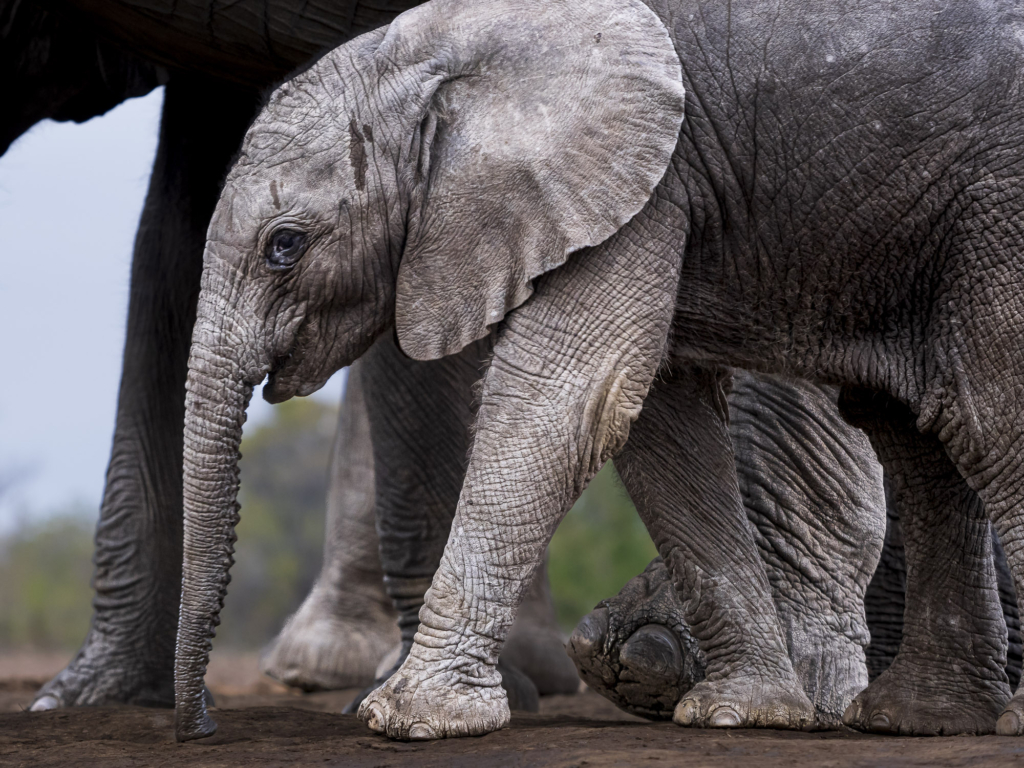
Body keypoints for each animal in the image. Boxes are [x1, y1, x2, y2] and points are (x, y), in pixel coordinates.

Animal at [176, 0, 1024, 745]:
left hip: (995, 213)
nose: (203, 729)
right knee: (919, 439)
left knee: (986, 414)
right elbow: (659, 426)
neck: (440, 48)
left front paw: (408, 720)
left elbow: (566, 396)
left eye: (285, 246)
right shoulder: (639, 194)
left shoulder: (641, 186)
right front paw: (743, 713)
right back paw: (918, 720)